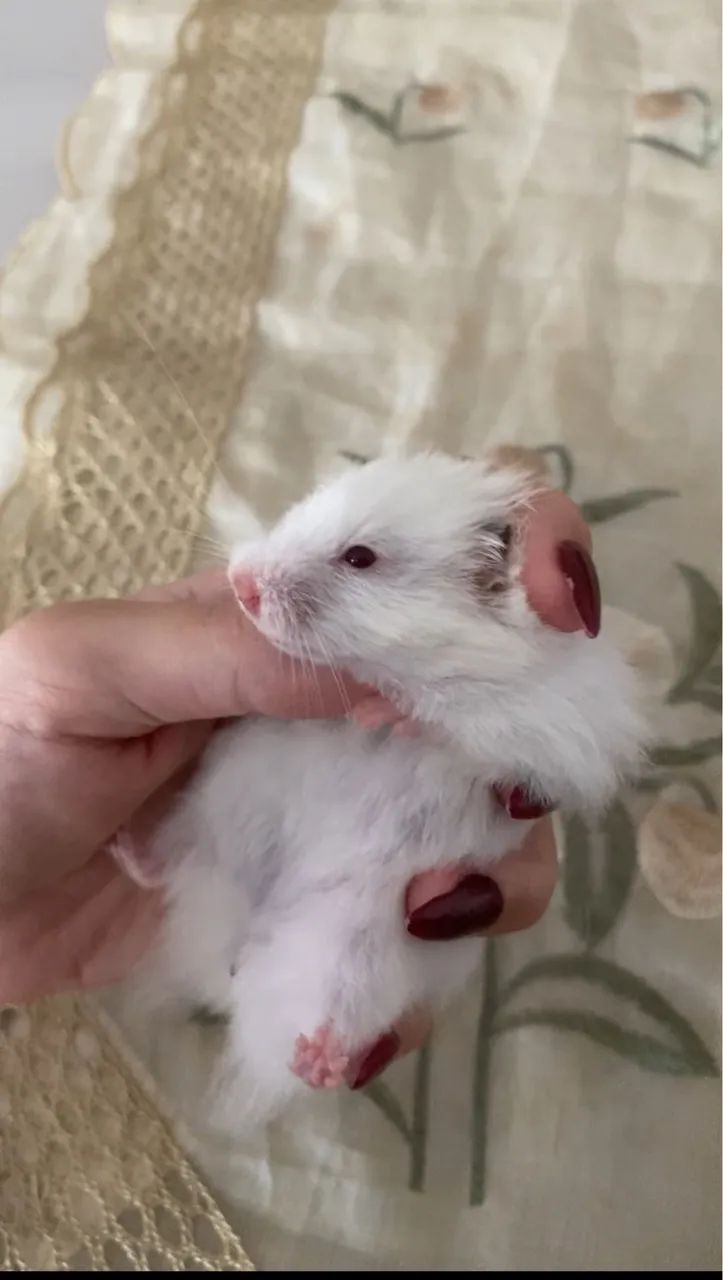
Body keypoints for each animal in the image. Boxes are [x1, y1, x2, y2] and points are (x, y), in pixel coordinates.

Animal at [114, 452, 645, 1134]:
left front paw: (383, 712)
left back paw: (322, 1057)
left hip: (349, 954)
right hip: (220, 804)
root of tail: (228, 954)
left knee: (301, 1031)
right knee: (170, 860)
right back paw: (125, 845)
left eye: (360, 557)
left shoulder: (558, 734)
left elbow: (460, 721)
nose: (239, 583)